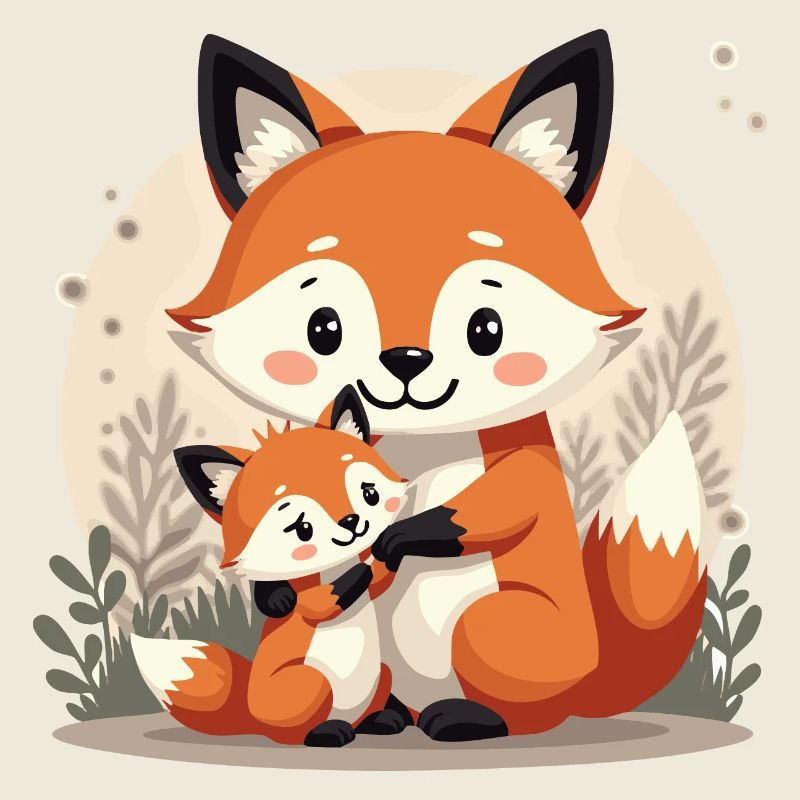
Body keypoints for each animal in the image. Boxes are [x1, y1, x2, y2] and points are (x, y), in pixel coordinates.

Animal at [132, 387, 412, 747]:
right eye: (302, 528)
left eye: (370, 493)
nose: (352, 523)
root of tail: (250, 714)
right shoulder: (314, 597)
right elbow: (327, 597)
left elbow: (379, 580)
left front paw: (390, 546)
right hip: (309, 683)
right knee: (298, 731)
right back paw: (327, 732)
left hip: (382, 673)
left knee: (376, 702)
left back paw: (383, 718)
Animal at [164, 31, 715, 740]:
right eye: (323, 327)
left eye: (487, 328)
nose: (405, 360)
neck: (417, 445)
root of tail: (592, 678)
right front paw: (287, 589)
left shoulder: (523, 461)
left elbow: (496, 502)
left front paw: (398, 539)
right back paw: (381, 720)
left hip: (492, 630)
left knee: (519, 711)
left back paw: (464, 717)